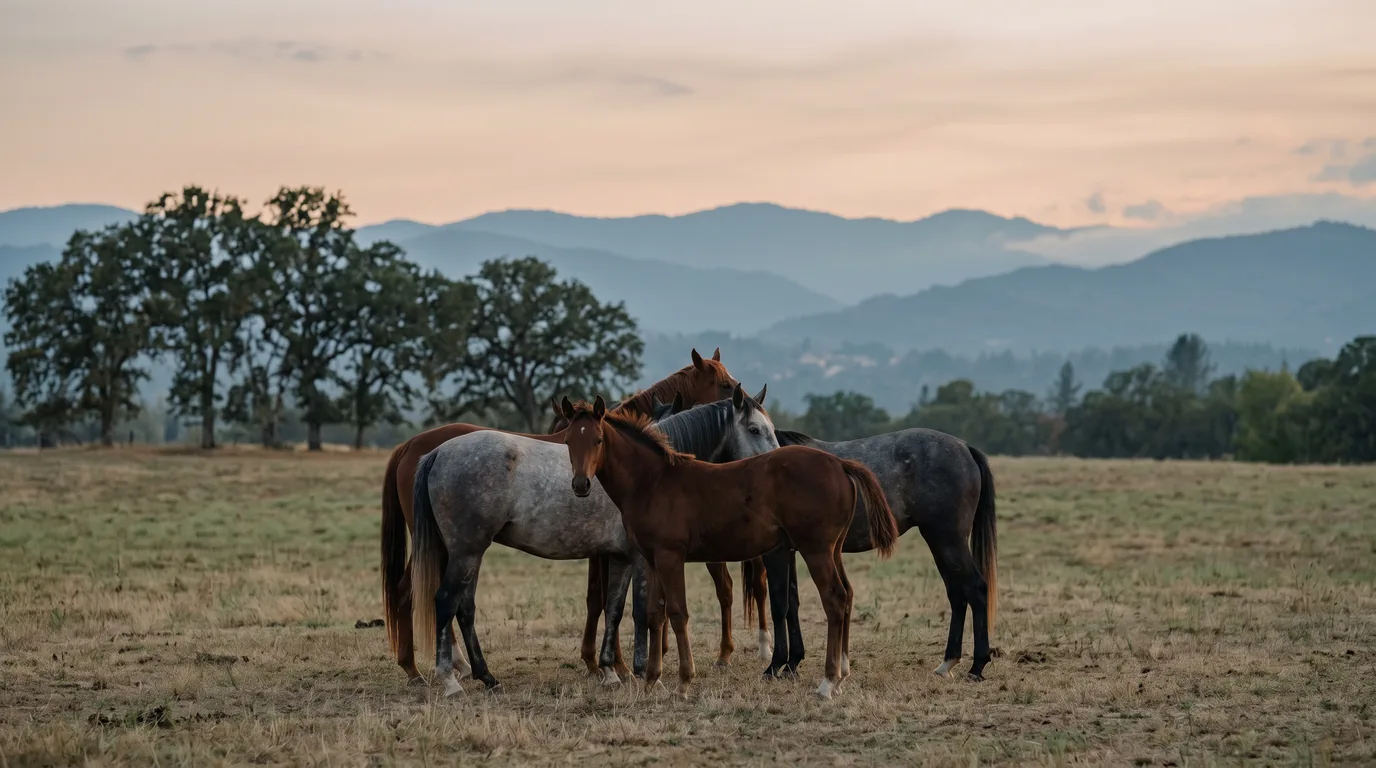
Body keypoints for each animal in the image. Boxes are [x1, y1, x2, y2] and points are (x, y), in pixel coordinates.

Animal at [380, 347, 740, 684]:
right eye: (725, 384)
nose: (744, 398)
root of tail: (418, 448)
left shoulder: (608, 550)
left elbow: (605, 600)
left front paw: (605, 664)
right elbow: (608, 600)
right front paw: (615, 666)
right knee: (415, 593)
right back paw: (423, 669)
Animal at [561, 395, 900, 700]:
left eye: (598, 440)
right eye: (568, 441)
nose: (580, 485)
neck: (654, 482)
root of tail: (839, 463)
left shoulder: (671, 557)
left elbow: (678, 613)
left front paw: (683, 682)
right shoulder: (652, 558)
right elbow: (656, 614)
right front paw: (652, 681)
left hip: (815, 550)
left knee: (834, 599)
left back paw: (828, 682)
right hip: (833, 549)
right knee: (847, 595)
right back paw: (841, 675)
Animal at [757, 427, 999, 682]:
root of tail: (965, 448)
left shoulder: (776, 553)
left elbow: (779, 605)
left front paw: (775, 665)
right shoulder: (792, 552)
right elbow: (792, 602)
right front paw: (791, 664)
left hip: (948, 540)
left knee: (976, 589)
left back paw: (977, 667)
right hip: (940, 542)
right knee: (957, 594)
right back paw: (947, 663)